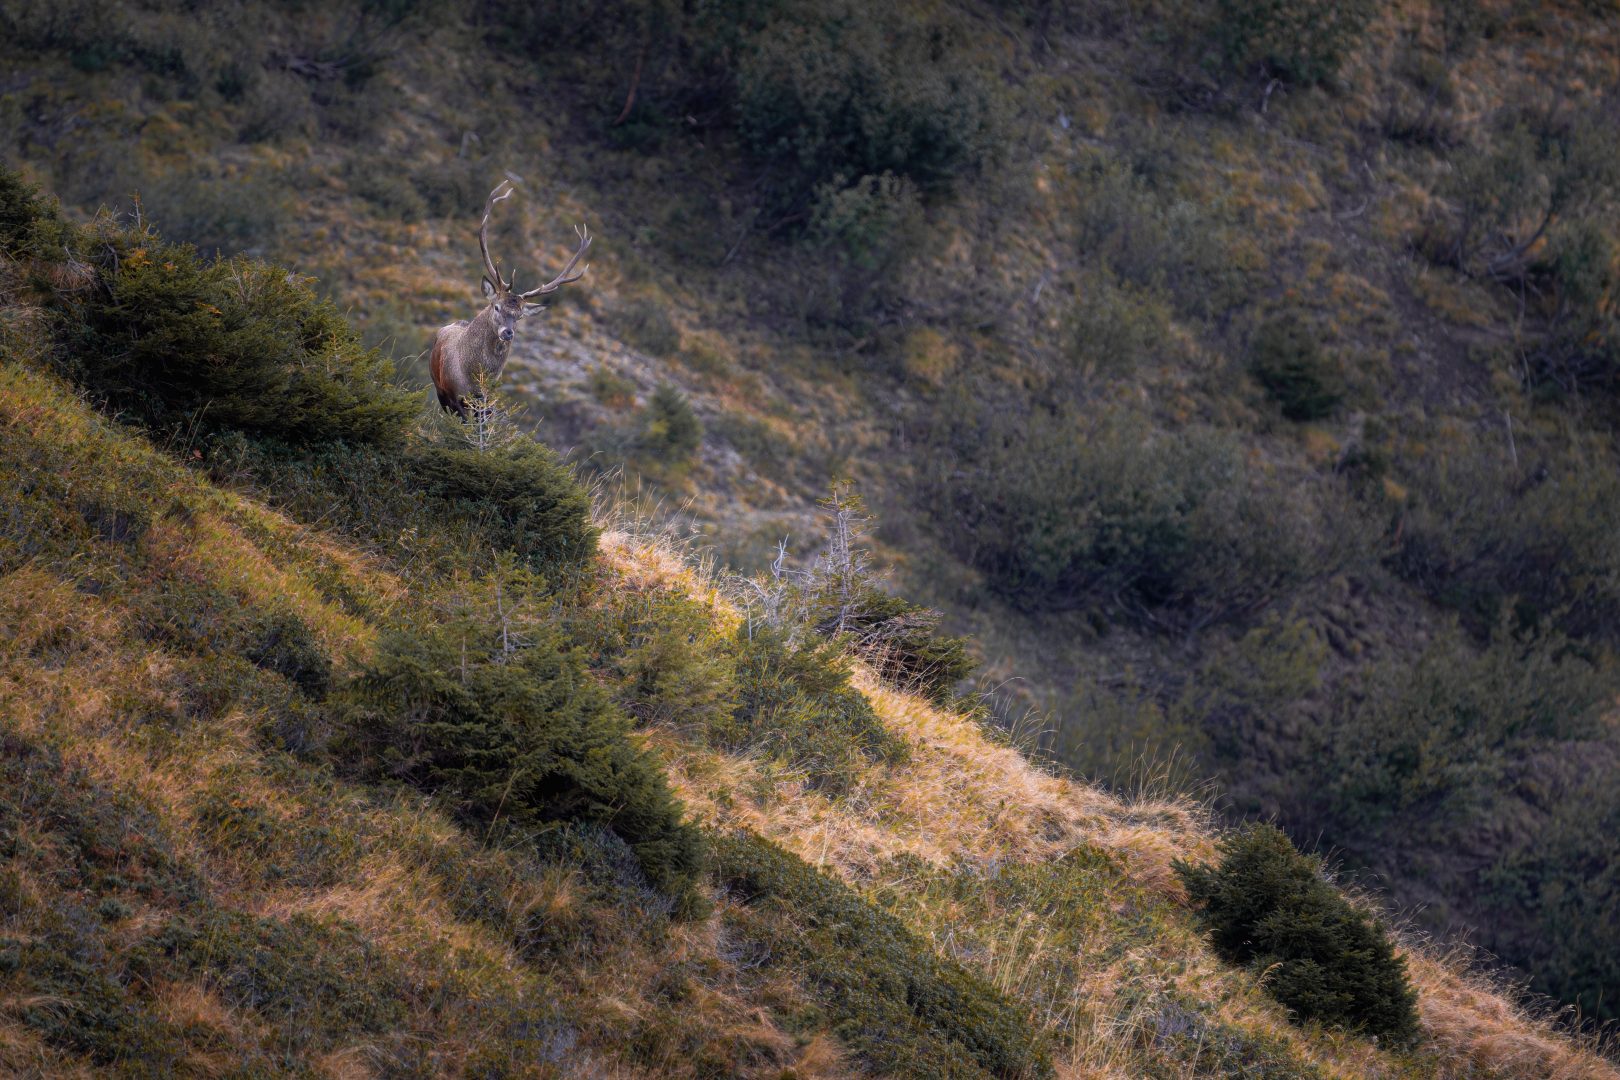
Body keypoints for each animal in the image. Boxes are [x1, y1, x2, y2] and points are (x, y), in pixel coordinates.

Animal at [429, 180, 592, 418]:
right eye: (496, 307)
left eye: (520, 316)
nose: (508, 332)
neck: (472, 379)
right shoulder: (456, 399)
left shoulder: (486, 405)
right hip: (441, 393)